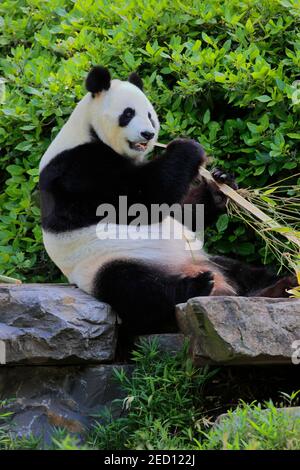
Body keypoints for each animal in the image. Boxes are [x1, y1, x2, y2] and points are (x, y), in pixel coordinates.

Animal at [39, 67, 296, 338]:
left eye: (150, 115)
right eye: (128, 114)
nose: (148, 134)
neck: (88, 132)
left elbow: (182, 212)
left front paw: (220, 184)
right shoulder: (77, 169)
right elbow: (142, 199)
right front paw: (188, 147)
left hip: (207, 258)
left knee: (248, 273)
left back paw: (283, 285)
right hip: (103, 264)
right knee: (136, 290)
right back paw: (196, 285)